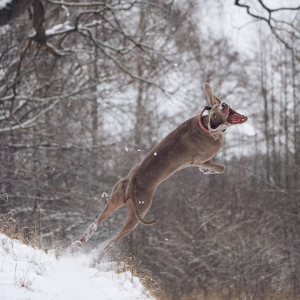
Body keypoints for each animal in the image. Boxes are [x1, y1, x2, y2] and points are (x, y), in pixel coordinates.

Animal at [70, 82, 248, 264]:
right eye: (217, 113)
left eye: (220, 108)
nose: (223, 104)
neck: (205, 125)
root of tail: (132, 181)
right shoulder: (198, 159)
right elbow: (220, 167)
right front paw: (206, 170)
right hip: (139, 211)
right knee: (114, 240)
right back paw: (96, 258)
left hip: (115, 196)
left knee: (95, 222)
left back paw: (76, 245)